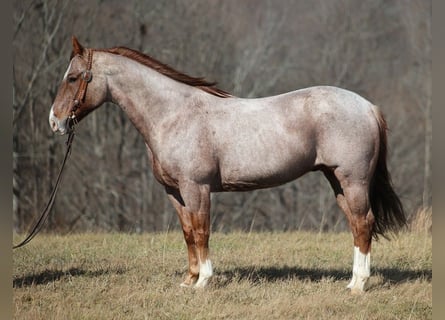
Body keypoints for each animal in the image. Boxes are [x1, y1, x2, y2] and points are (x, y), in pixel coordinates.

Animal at [49, 36, 406, 294]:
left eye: (73, 77)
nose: (55, 121)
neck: (173, 114)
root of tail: (367, 106)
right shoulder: (174, 193)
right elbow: (188, 233)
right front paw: (189, 280)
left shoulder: (197, 188)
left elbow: (202, 230)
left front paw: (204, 281)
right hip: (337, 181)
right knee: (357, 225)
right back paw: (353, 281)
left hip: (353, 180)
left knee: (363, 223)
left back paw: (358, 286)